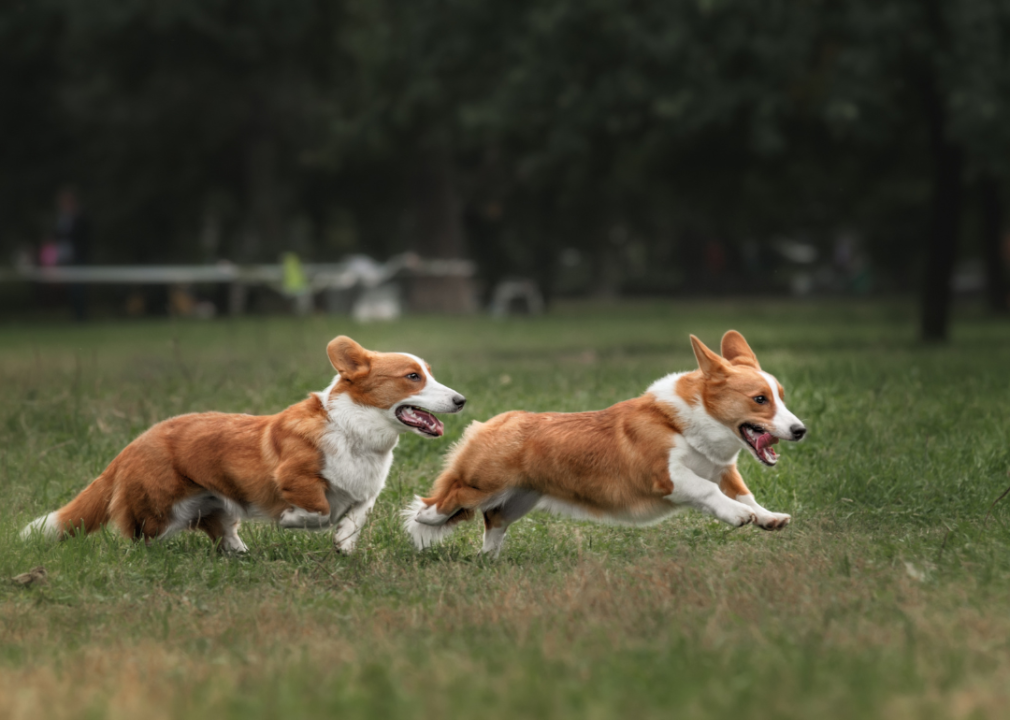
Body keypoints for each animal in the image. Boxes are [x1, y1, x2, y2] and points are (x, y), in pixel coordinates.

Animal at [22, 335, 464, 549]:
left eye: (428, 373)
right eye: (412, 377)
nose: (461, 400)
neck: (353, 429)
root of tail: (131, 445)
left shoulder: (365, 494)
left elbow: (353, 518)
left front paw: (343, 546)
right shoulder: (295, 479)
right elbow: (318, 510)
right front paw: (293, 521)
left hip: (214, 504)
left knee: (221, 532)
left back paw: (241, 554)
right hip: (160, 511)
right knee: (138, 535)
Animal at [401, 331, 803, 557]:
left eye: (781, 397)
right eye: (760, 400)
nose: (800, 430)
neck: (689, 421)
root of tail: (491, 422)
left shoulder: (723, 469)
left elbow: (744, 494)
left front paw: (768, 518)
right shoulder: (669, 475)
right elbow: (709, 492)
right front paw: (738, 517)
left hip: (520, 498)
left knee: (494, 519)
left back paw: (489, 560)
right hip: (484, 484)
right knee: (447, 500)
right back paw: (424, 519)